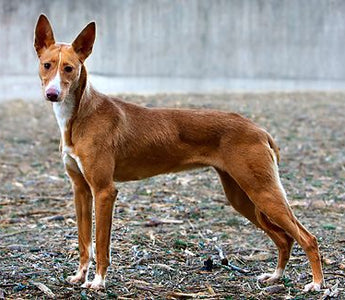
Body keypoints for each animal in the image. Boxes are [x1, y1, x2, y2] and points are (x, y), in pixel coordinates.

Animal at [33, 15, 322, 292]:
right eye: (47, 65)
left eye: (69, 68)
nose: (52, 94)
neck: (80, 116)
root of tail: (259, 129)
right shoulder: (81, 190)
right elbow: (84, 242)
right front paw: (79, 276)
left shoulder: (104, 191)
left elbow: (102, 245)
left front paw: (98, 281)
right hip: (242, 196)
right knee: (284, 239)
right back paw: (276, 276)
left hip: (262, 192)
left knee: (307, 237)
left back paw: (317, 284)